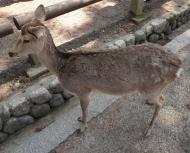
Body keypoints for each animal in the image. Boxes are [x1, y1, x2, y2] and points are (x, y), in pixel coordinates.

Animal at [8, 4, 183, 137]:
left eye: (26, 39)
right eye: (17, 36)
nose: (11, 53)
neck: (61, 67)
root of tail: (178, 66)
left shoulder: (83, 89)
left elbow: (84, 109)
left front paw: (82, 127)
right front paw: (80, 120)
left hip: (150, 86)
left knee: (161, 102)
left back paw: (148, 130)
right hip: (156, 87)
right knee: (161, 98)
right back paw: (148, 104)